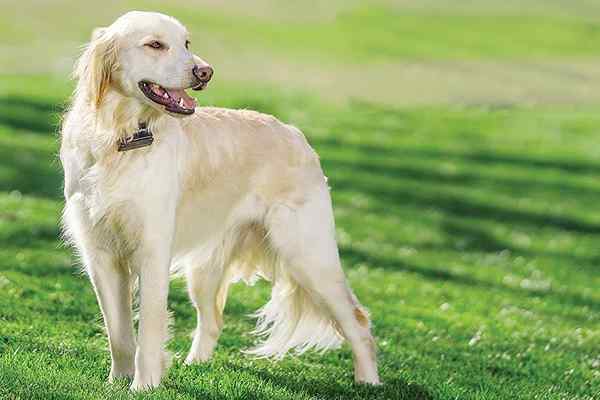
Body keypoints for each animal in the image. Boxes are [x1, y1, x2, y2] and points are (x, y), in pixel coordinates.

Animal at [61, 10, 380, 390]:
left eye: (186, 43)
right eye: (155, 44)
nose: (205, 72)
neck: (121, 137)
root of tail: (296, 133)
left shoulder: (152, 250)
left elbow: (149, 327)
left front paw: (144, 386)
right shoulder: (101, 255)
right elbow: (119, 333)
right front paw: (116, 383)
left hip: (308, 256)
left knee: (358, 321)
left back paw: (369, 382)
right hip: (206, 269)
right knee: (212, 321)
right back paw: (195, 364)